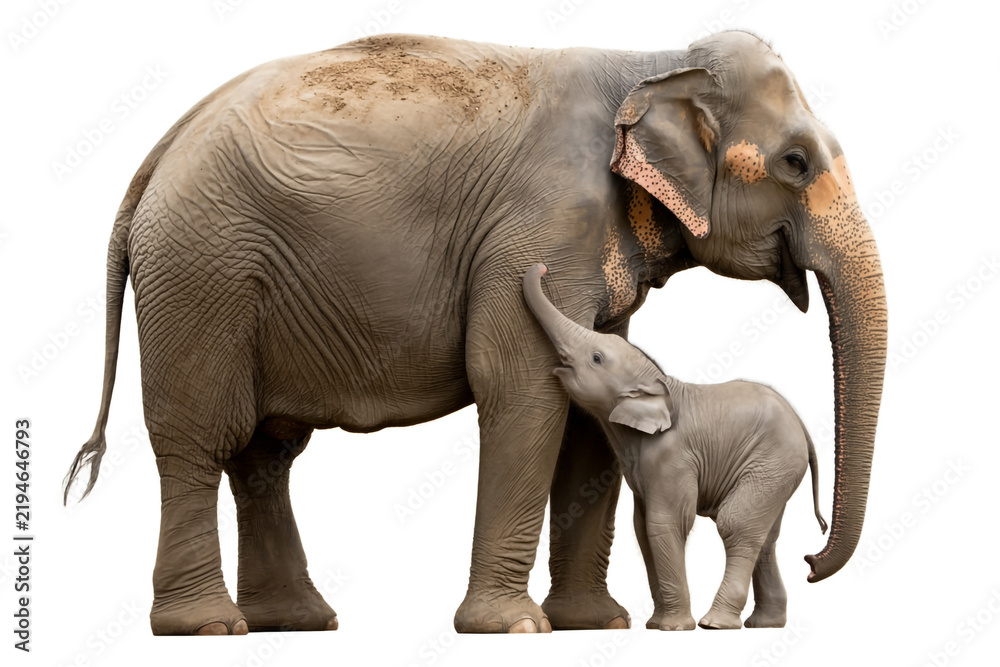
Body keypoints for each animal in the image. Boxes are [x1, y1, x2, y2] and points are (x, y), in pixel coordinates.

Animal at [523, 263, 829, 630]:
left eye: (596, 358)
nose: (540, 268)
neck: (659, 384)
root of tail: (804, 430)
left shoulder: (672, 457)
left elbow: (665, 523)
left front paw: (673, 628)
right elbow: (642, 528)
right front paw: (657, 625)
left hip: (772, 461)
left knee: (736, 523)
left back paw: (715, 624)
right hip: (778, 469)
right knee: (766, 535)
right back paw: (765, 624)